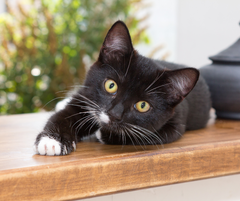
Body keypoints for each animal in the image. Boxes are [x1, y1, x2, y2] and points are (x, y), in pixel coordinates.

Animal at [33, 20, 212, 155]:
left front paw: (102, 134)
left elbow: (148, 135)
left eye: (142, 105)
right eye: (111, 85)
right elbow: (63, 115)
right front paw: (52, 141)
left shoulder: (176, 123)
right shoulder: (84, 97)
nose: (114, 114)